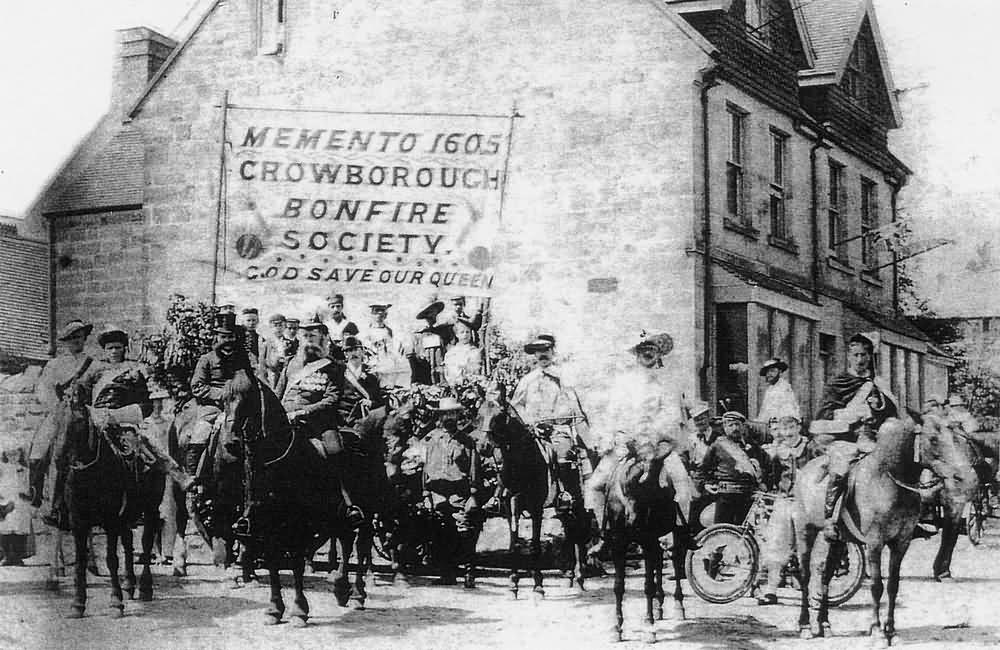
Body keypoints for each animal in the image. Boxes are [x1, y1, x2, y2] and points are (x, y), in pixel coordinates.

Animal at [600, 442, 688, 640]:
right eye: (628, 485)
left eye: (655, 490)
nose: (635, 522)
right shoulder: (618, 543)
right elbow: (618, 586)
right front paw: (617, 627)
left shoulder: (647, 541)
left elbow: (647, 585)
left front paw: (649, 626)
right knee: (659, 561)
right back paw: (659, 604)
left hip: (671, 533)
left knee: (674, 557)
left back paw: (677, 606)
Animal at [792, 416, 964, 644]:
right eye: (934, 439)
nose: (958, 475)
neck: (887, 479)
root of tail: (805, 470)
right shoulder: (874, 544)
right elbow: (876, 586)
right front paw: (876, 630)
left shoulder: (901, 543)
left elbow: (893, 586)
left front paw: (891, 631)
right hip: (805, 532)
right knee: (805, 576)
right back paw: (804, 626)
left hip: (837, 541)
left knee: (825, 576)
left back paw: (825, 624)